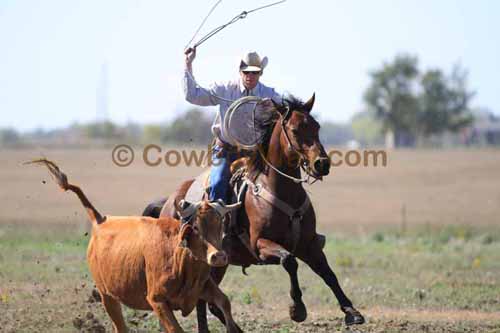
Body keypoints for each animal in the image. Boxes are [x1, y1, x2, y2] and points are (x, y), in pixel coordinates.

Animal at [27, 159, 242, 332]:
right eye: (196, 227)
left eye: (220, 224)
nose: (219, 256)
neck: (179, 258)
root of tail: (101, 220)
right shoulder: (157, 301)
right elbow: (176, 329)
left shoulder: (202, 287)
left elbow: (224, 302)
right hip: (108, 297)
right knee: (120, 327)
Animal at [143, 93, 366, 330]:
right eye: (295, 129)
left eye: (316, 126)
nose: (321, 163)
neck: (280, 191)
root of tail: (168, 203)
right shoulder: (260, 244)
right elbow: (289, 261)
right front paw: (297, 309)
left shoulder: (309, 245)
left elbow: (328, 273)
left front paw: (352, 312)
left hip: (217, 264)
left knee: (205, 300)